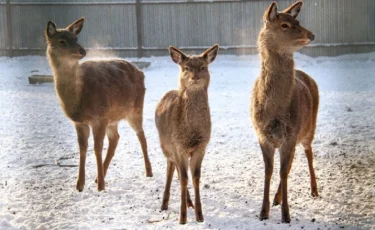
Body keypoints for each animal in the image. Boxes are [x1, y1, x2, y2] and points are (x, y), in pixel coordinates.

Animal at [45, 17, 153, 191]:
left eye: (76, 38)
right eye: (62, 41)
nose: (82, 51)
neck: (79, 98)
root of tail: (140, 72)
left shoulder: (100, 117)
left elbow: (96, 149)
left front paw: (101, 186)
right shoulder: (80, 122)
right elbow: (83, 148)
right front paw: (80, 185)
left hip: (135, 109)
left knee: (141, 135)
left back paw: (148, 172)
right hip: (113, 117)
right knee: (115, 138)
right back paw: (97, 177)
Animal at [156, 44, 220, 224]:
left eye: (203, 67)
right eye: (187, 68)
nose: (195, 77)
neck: (191, 132)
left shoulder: (201, 147)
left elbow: (195, 177)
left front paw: (199, 215)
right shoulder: (178, 146)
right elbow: (184, 178)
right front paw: (182, 218)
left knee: (177, 170)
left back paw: (189, 202)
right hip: (165, 145)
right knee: (171, 168)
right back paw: (165, 203)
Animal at [251, 0, 318, 223]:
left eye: (297, 21)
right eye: (285, 25)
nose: (311, 34)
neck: (275, 110)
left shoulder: (291, 134)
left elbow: (283, 172)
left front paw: (286, 215)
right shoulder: (263, 135)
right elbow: (270, 171)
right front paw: (263, 212)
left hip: (308, 128)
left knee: (308, 152)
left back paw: (314, 190)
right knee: (290, 163)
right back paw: (276, 198)